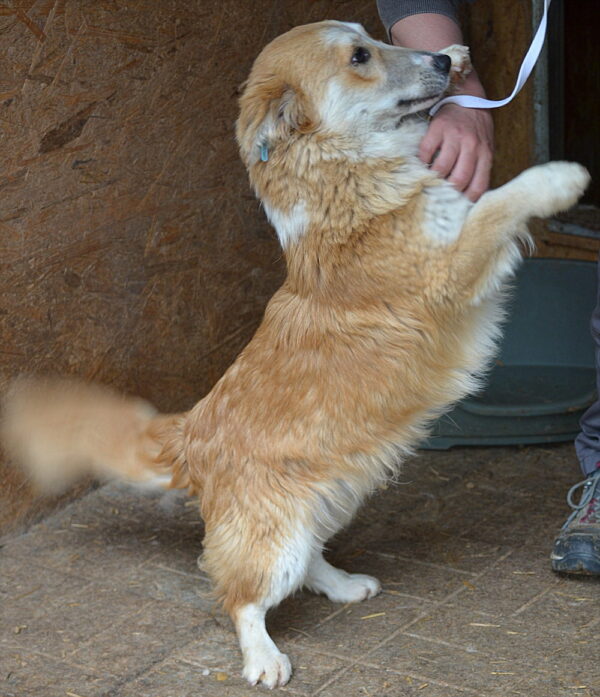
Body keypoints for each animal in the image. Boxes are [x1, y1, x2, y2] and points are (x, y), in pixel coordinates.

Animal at [2, 20, 588, 684]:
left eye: (374, 38)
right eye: (359, 57)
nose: (442, 61)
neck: (344, 180)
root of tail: (189, 432)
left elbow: (490, 203)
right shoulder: (450, 267)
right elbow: (499, 203)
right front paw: (559, 178)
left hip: (328, 502)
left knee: (308, 564)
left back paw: (345, 585)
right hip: (274, 539)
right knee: (240, 597)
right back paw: (264, 659)